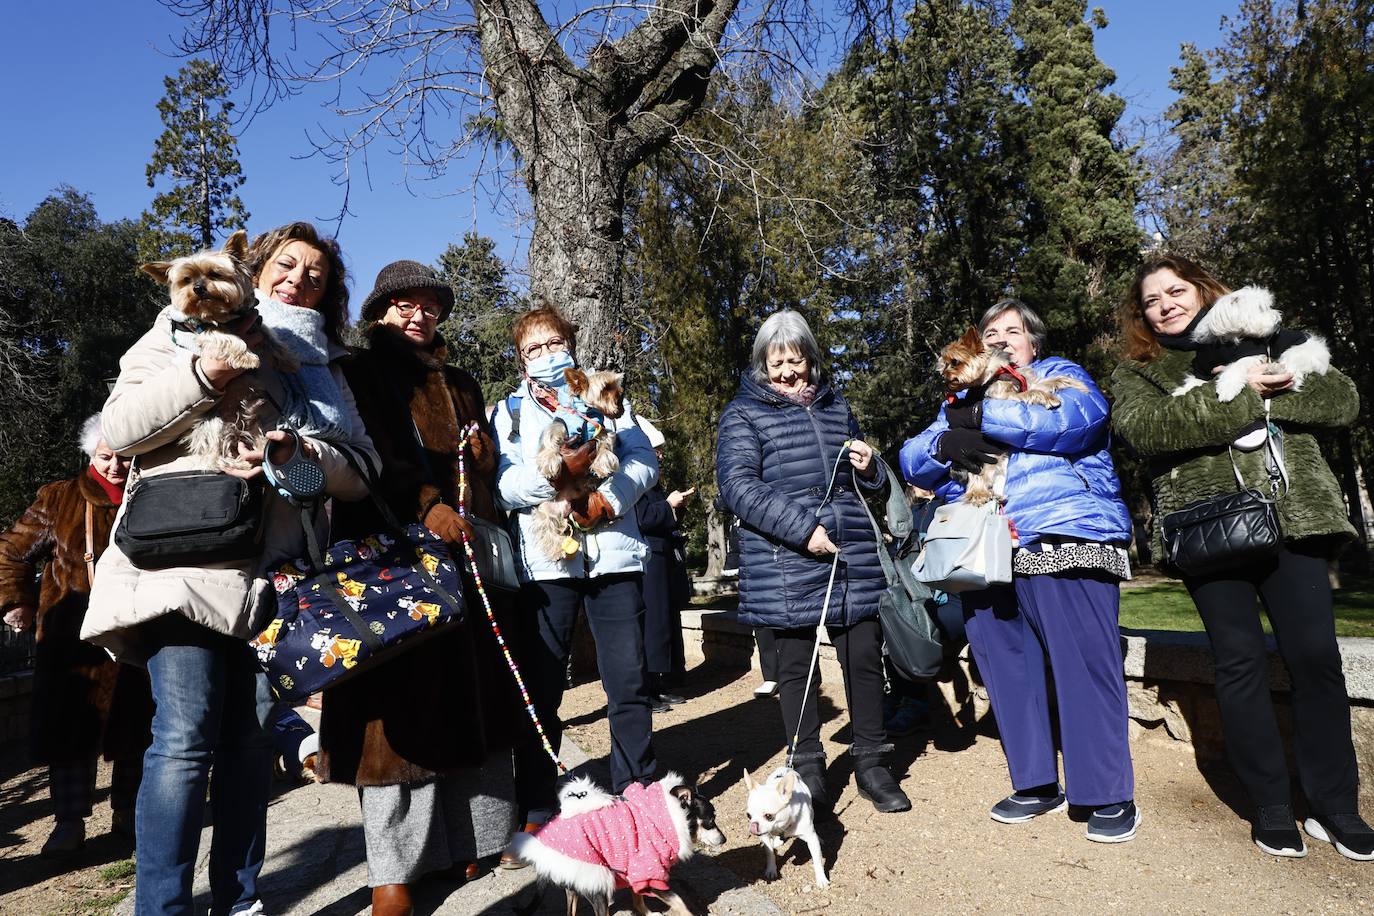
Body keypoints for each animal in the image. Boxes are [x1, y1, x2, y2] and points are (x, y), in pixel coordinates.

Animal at [513, 774, 725, 916]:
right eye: (710, 820)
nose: (724, 839)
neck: (664, 819)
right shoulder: (651, 876)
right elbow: (679, 901)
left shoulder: (636, 876)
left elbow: (638, 898)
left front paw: (647, 913)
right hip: (596, 884)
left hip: (576, 884)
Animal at [934, 325, 1082, 505]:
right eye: (943, 366)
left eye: (955, 362)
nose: (941, 378)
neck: (996, 369)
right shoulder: (1004, 397)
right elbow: (1032, 393)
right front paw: (1049, 398)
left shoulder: (1029, 382)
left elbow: (1046, 383)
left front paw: (1075, 383)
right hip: (975, 460)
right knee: (976, 480)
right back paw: (979, 495)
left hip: (1001, 461)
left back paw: (997, 496)